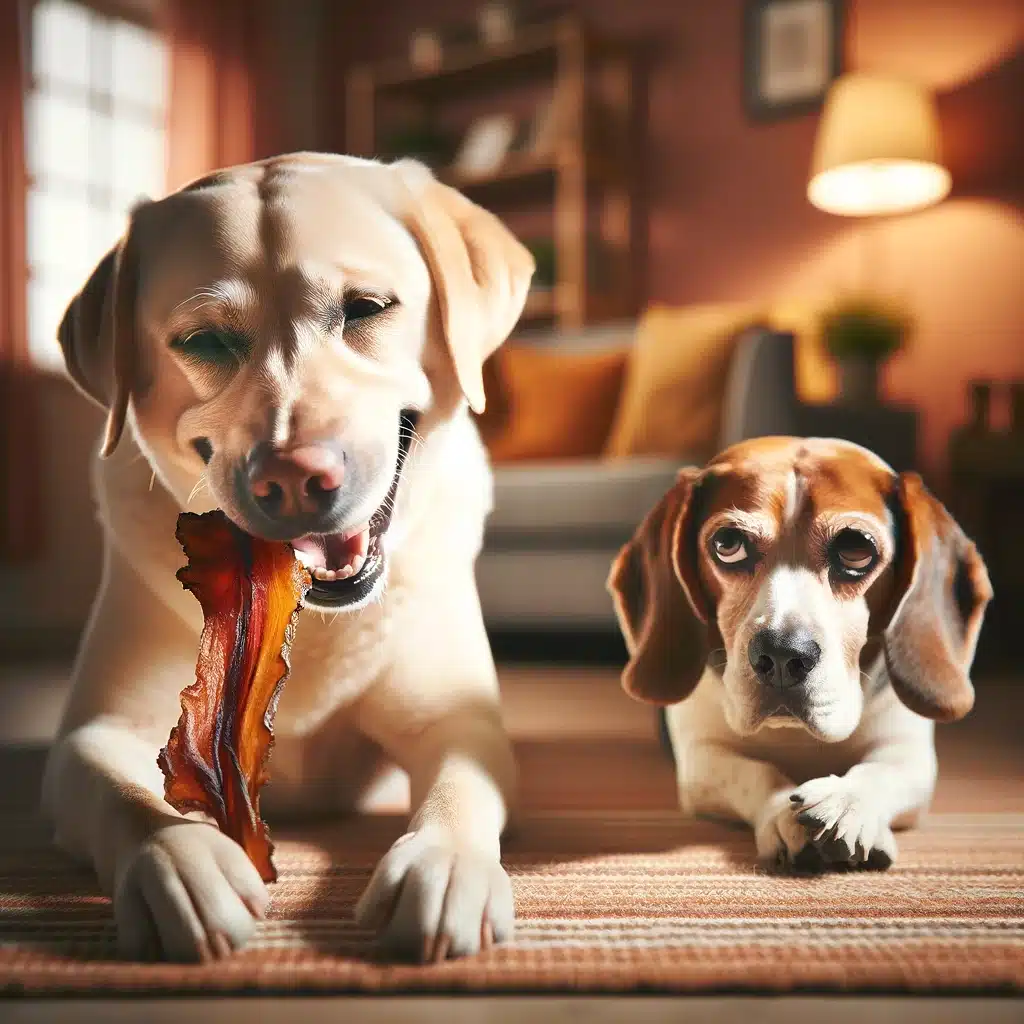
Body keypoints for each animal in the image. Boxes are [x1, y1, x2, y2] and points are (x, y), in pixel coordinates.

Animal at [606, 436, 991, 868]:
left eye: (856, 550)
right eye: (728, 545)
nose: (781, 656)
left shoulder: (910, 751)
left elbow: (879, 771)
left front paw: (847, 804)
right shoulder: (699, 760)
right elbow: (756, 771)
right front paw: (783, 815)